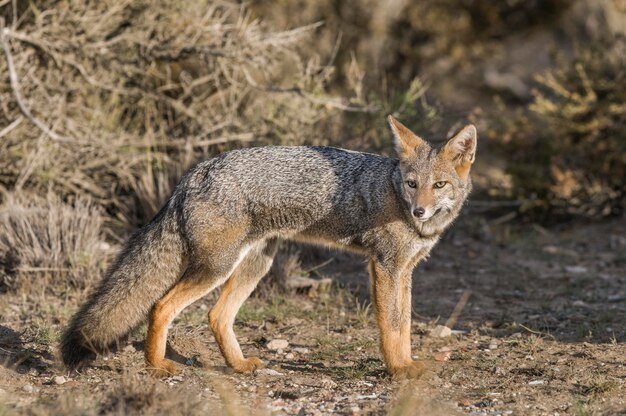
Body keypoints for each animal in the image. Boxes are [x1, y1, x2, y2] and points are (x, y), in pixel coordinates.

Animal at [61, 116, 476, 380]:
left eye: (439, 185)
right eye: (411, 184)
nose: (419, 210)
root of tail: (194, 173)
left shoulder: (404, 271)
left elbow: (404, 324)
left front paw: (407, 364)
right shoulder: (385, 267)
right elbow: (391, 326)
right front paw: (397, 370)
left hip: (254, 265)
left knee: (217, 316)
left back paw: (239, 366)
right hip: (218, 267)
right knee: (161, 306)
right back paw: (157, 366)